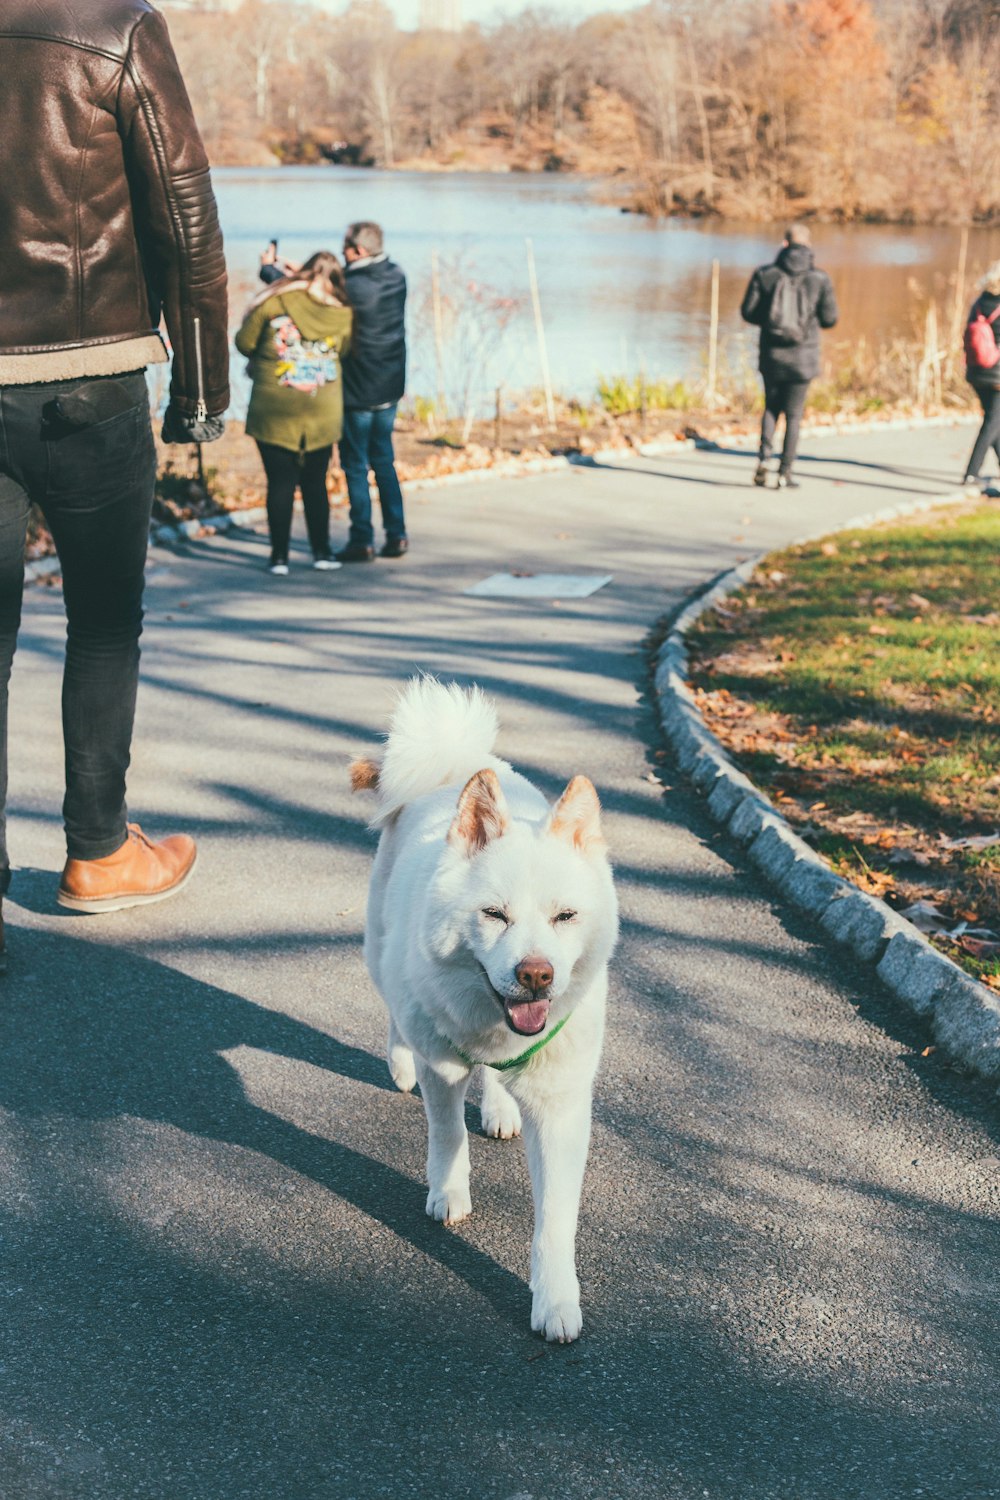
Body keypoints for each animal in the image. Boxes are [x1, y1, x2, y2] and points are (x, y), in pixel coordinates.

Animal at [352, 675, 617, 1344]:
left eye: (565, 916)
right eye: (494, 914)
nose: (536, 974)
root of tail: (454, 764)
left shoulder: (561, 1105)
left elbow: (555, 1220)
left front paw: (555, 1300)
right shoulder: (442, 1066)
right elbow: (446, 1132)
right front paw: (448, 1193)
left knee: (495, 1080)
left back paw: (499, 1106)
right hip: (380, 950)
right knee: (396, 1008)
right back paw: (399, 1062)